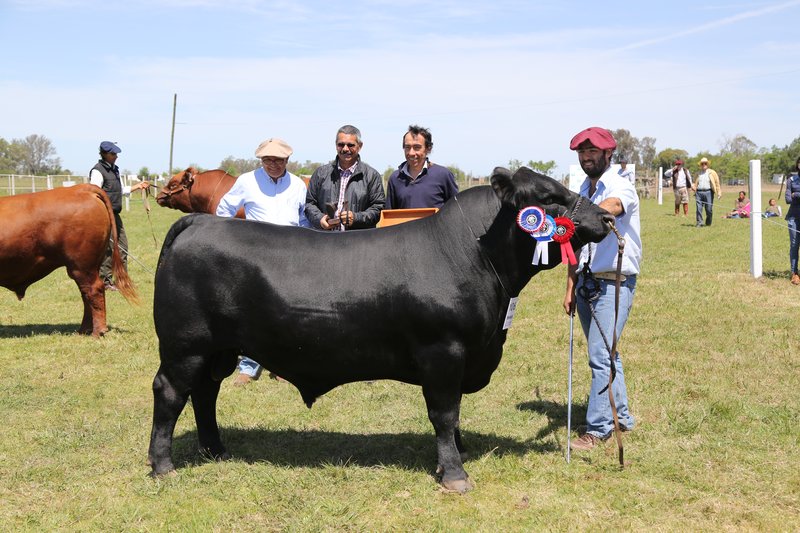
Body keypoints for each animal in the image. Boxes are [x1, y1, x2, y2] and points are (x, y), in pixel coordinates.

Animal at [0, 182, 138, 332]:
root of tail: (81, 188)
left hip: (82, 265)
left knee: (94, 290)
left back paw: (98, 331)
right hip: (87, 266)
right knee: (86, 294)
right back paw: (84, 330)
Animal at [148, 166, 612, 490]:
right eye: (549, 198)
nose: (607, 219)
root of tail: (200, 222)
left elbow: (454, 414)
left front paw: (456, 453)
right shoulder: (443, 352)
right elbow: (444, 412)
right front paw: (455, 473)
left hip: (217, 349)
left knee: (205, 393)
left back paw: (215, 449)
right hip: (185, 346)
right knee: (171, 393)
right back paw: (163, 466)